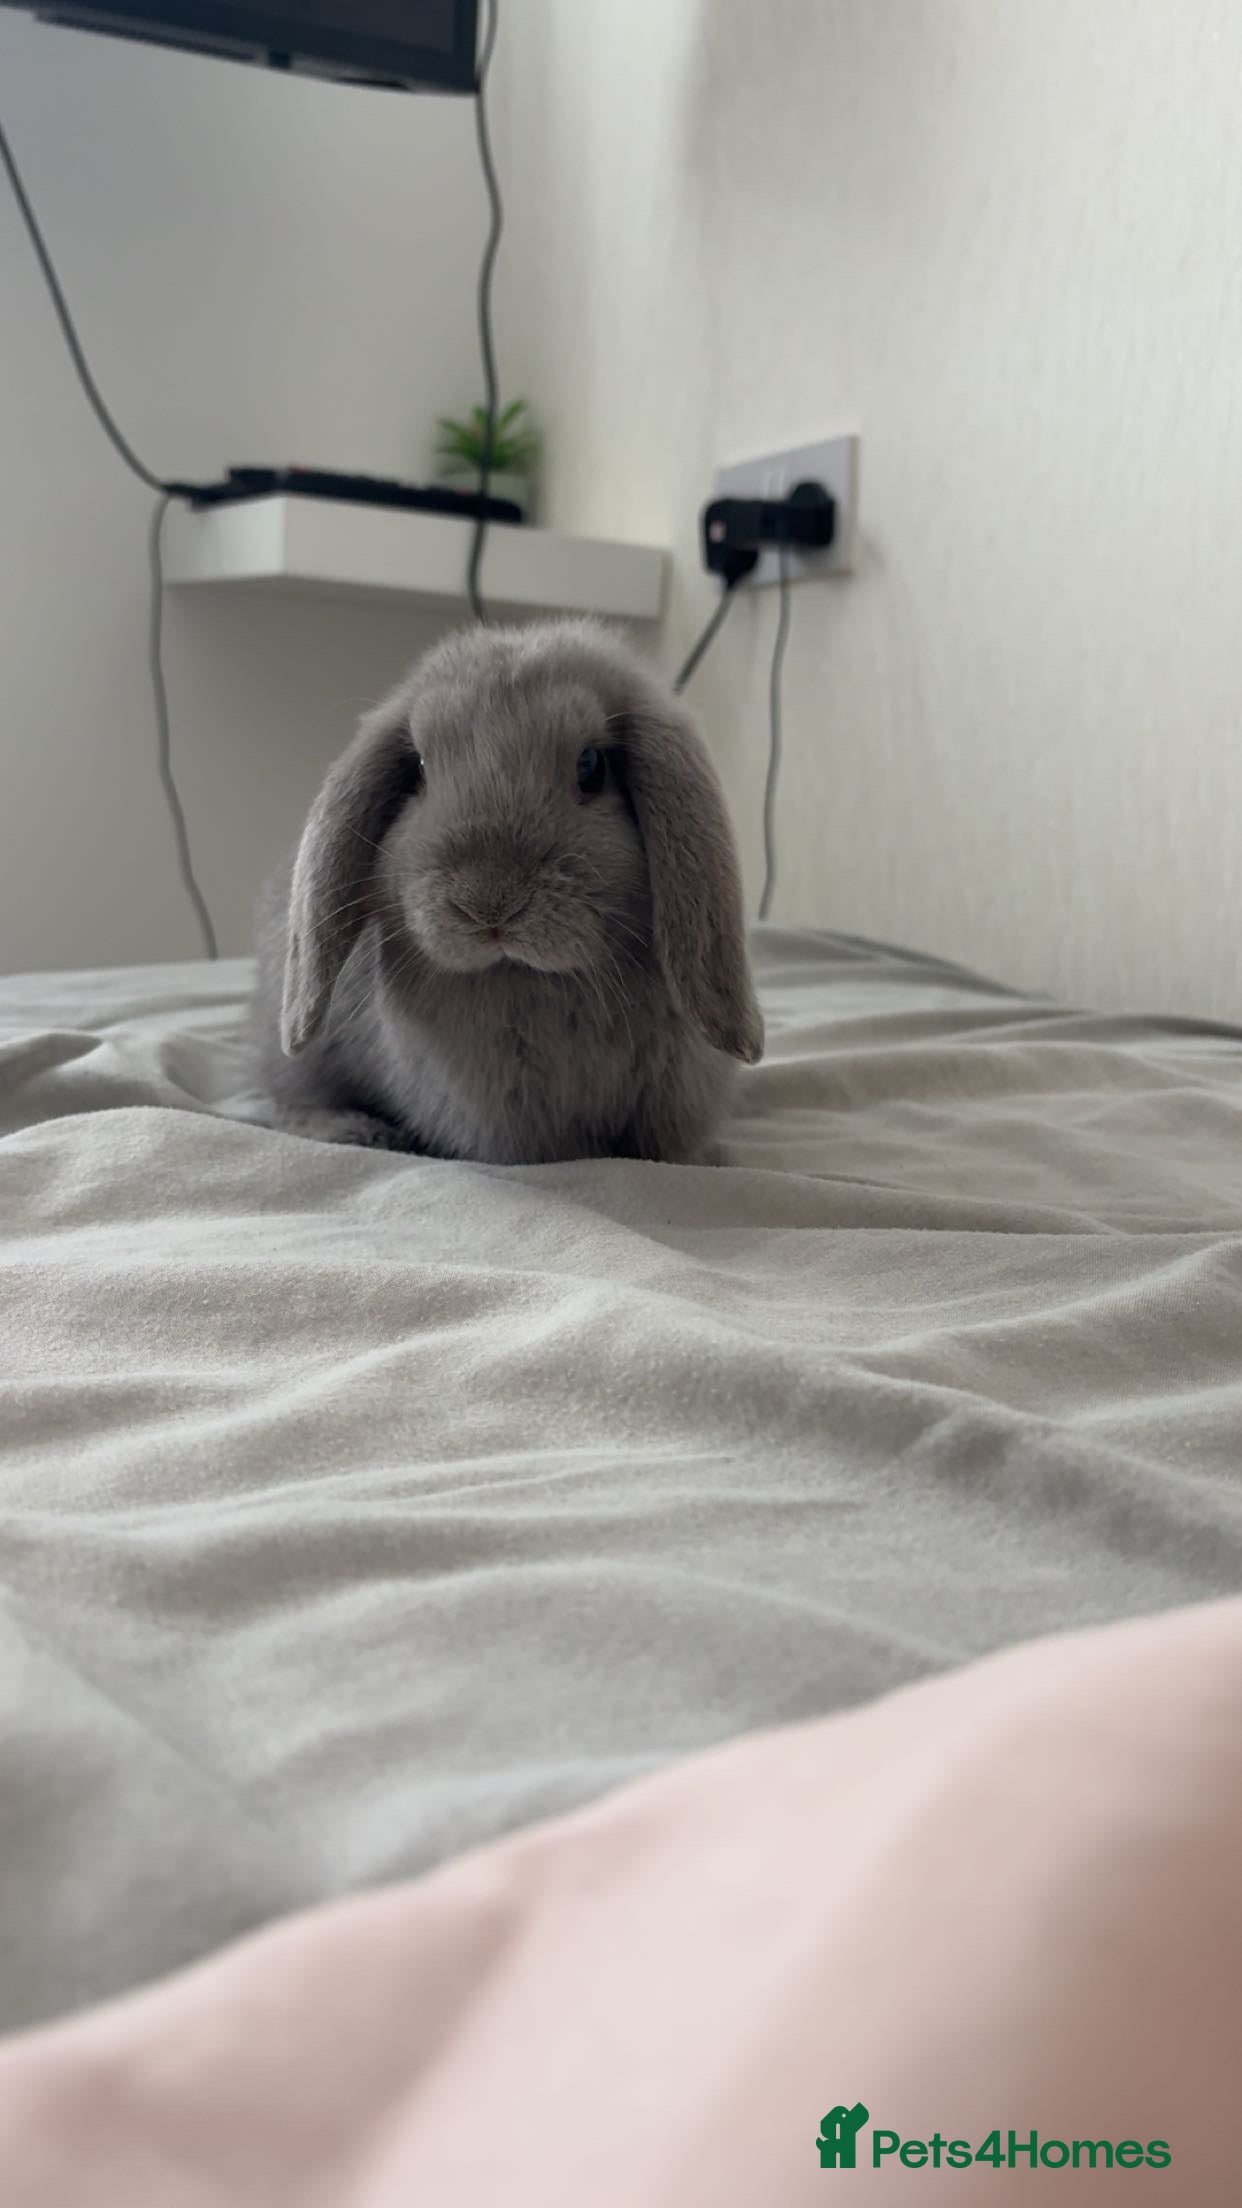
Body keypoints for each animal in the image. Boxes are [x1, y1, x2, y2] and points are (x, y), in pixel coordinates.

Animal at [252, 617, 763, 1165]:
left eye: (591, 766)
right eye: (421, 769)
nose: (488, 901)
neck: (538, 980)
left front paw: (713, 1159)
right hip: (302, 1065)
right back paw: (356, 1131)